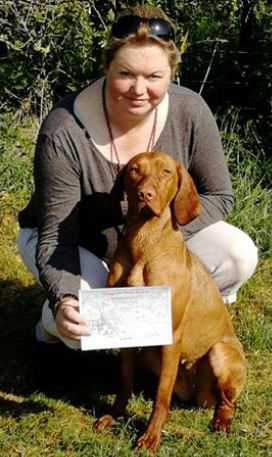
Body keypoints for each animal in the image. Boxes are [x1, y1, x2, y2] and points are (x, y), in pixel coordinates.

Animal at [93, 151, 246, 452]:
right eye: (134, 169)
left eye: (166, 172)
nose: (145, 194)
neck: (144, 241)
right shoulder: (127, 328)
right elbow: (125, 383)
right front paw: (115, 416)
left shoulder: (170, 335)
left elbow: (161, 398)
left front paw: (151, 436)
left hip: (220, 353)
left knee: (226, 402)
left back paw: (221, 421)